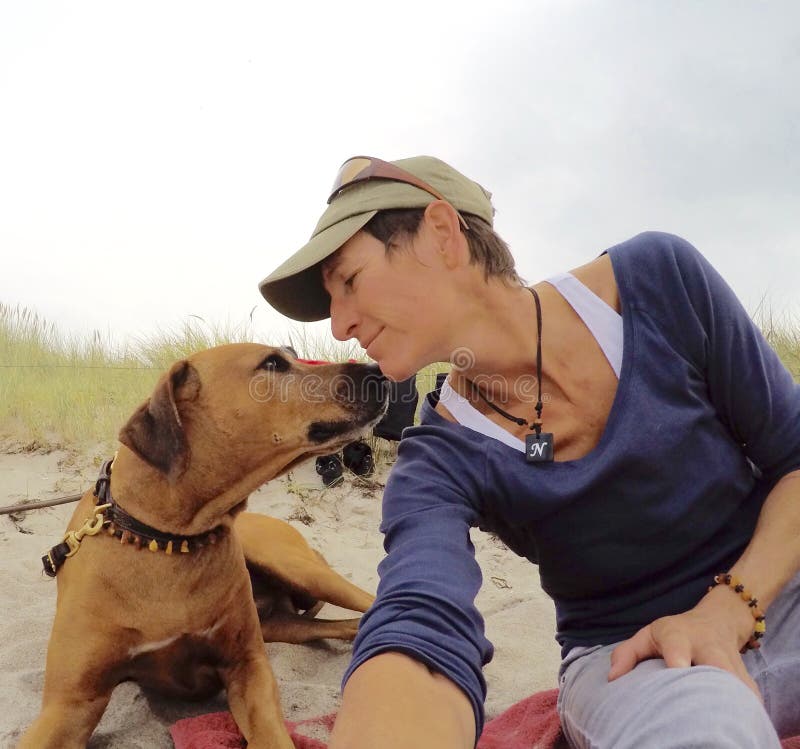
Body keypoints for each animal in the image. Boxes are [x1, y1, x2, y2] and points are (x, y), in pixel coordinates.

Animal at [20, 344, 390, 748]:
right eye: (272, 363)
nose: (379, 372)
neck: (168, 540)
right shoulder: (71, 703)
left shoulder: (248, 667)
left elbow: (272, 734)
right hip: (282, 624)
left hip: (297, 568)